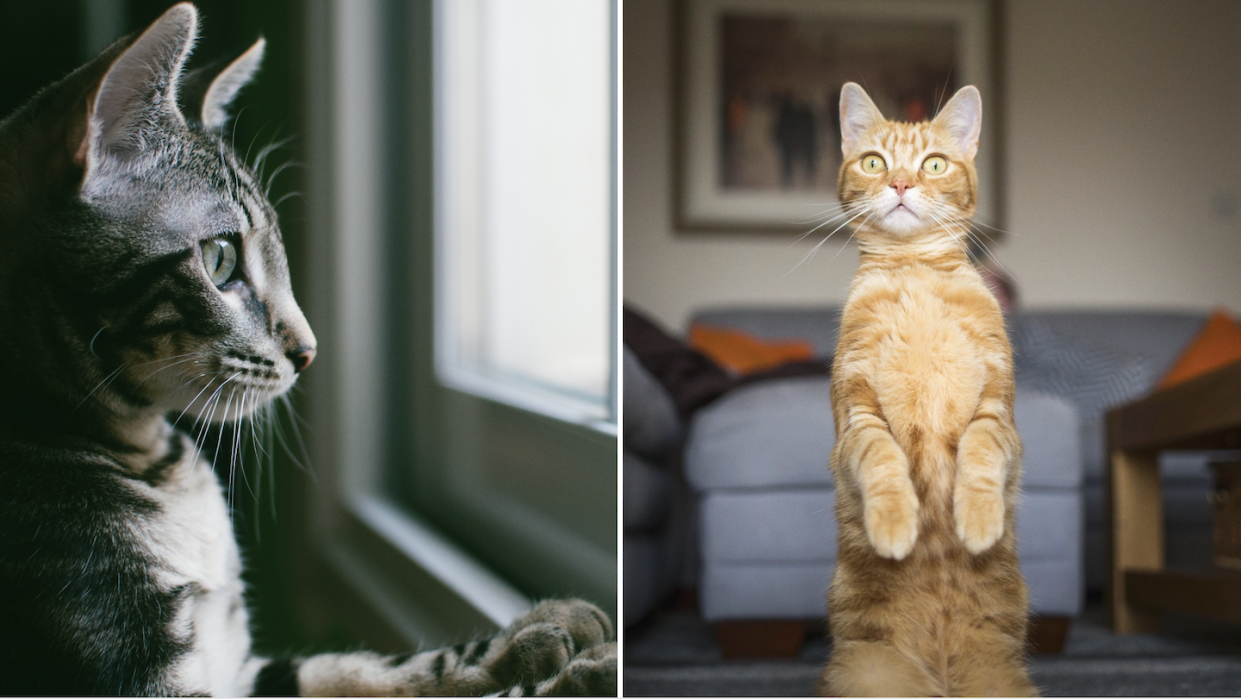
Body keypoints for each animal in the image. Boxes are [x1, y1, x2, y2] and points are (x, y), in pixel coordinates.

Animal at [0, 2, 615, 695]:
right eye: (220, 259)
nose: (309, 351)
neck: (155, 461)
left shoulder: (247, 671)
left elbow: (365, 664)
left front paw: (535, 635)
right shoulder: (129, 660)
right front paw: (582, 670)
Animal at [819, 83, 1032, 699]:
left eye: (933, 164)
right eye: (874, 162)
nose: (900, 185)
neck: (914, 275)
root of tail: (940, 680)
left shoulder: (998, 411)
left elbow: (980, 453)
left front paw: (978, 520)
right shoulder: (856, 415)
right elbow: (883, 460)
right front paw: (895, 525)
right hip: (866, 676)